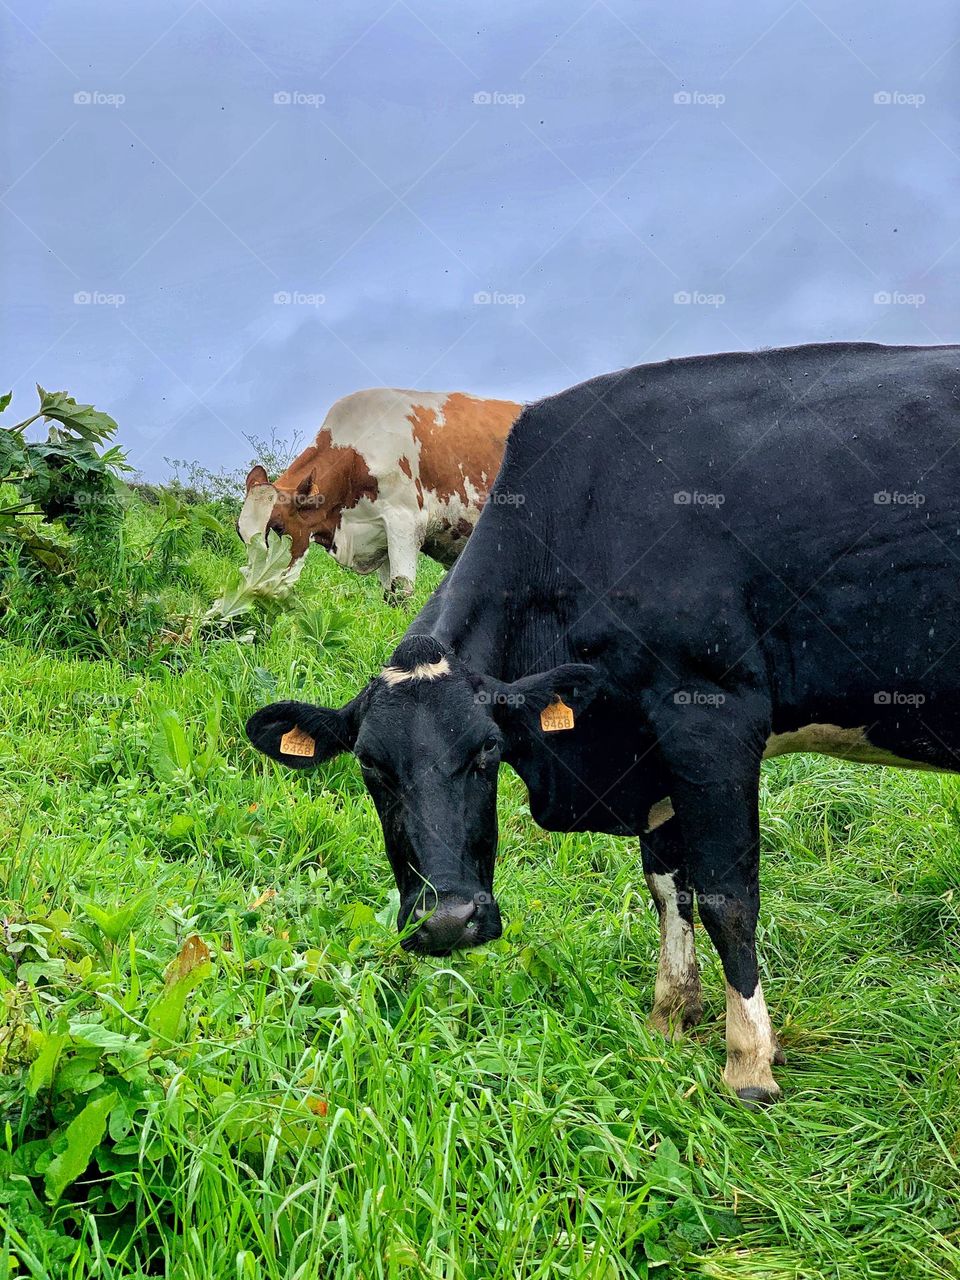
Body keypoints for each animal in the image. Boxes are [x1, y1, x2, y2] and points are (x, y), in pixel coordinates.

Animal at [238, 388, 520, 602]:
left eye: (277, 528)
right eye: (241, 535)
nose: (255, 588)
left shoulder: (404, 521)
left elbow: (402, 591)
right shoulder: (379, 534)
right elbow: (388, 593)